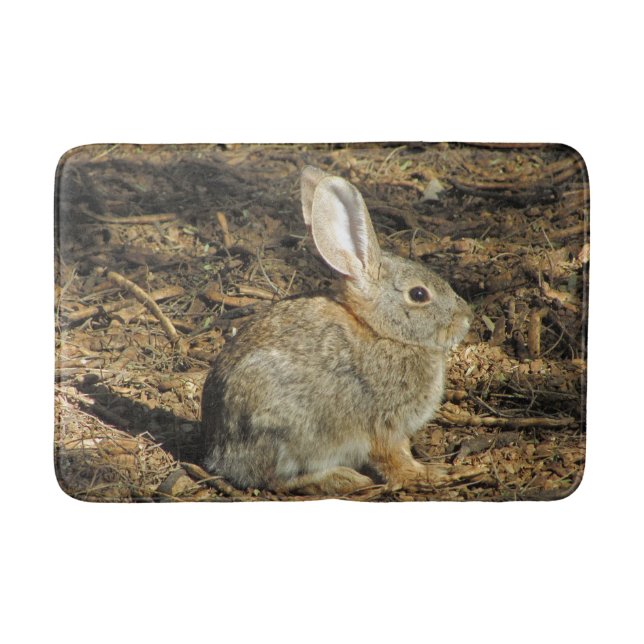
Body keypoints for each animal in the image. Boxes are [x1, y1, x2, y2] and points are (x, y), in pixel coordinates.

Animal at [201, 166, 477, 495]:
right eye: (419, 294)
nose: (466, 318)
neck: (382, 333)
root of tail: (220, 454)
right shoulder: (384, 425)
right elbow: (394, 458)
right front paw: (428, 474)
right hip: (289, 431)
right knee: (276, 481)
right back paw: (344, 478)